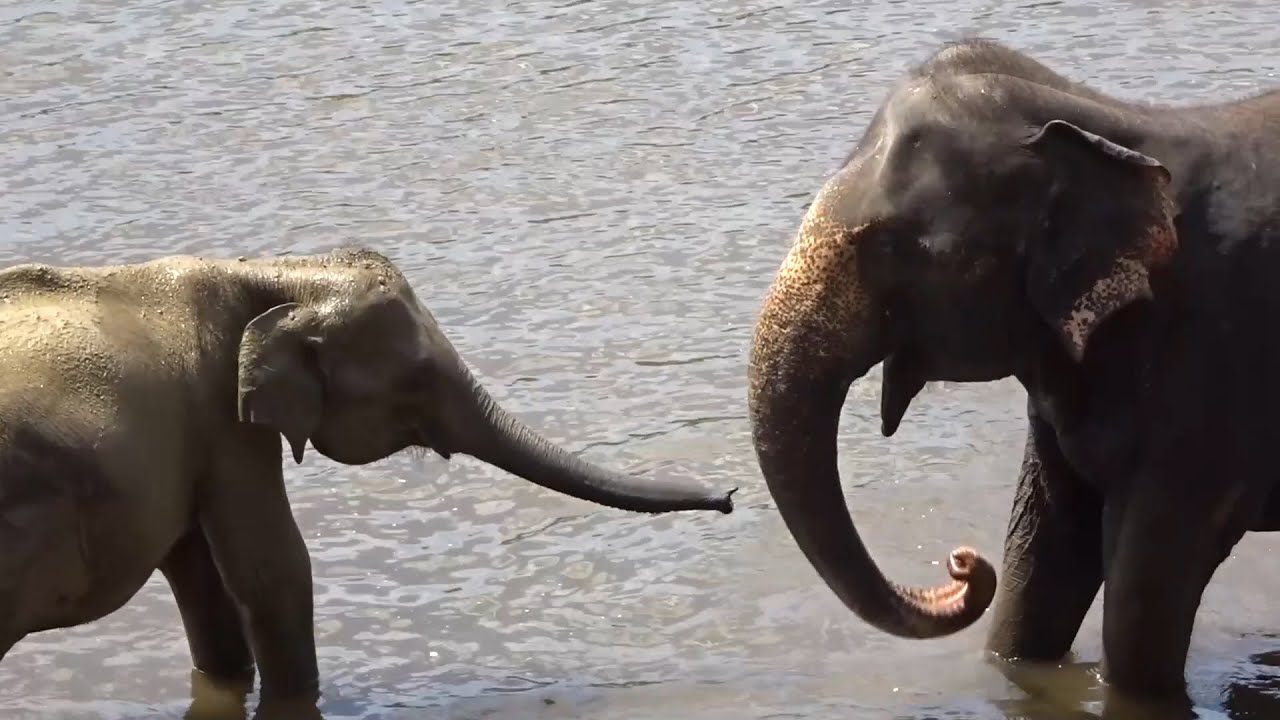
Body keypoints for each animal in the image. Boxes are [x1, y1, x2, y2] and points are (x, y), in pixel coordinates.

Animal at [0, 247, 735, 705]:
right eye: (419, 375)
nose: (729, 496)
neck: (270, 271)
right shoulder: (220, 415)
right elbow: (271, 570)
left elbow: (201, 576)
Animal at [745, 37, 1280, 705]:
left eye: (890, 246)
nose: (963, 564)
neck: (1104, 120)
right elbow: (1043, 558)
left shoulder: (1215, 376)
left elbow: (1142, 594)